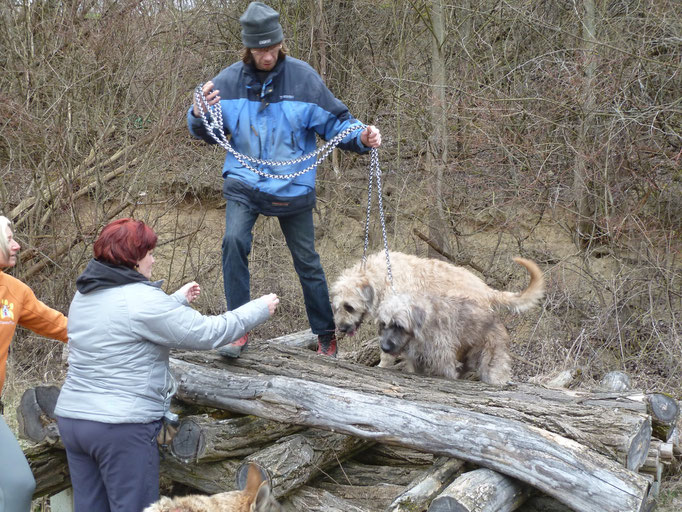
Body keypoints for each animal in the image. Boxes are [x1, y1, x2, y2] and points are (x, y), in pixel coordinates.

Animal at [326, 250, 544, 366]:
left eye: (349, 307)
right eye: (336, 307)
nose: (341, 329)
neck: (380, 277)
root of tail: (487, 290)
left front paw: (383, 365)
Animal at [378, 292, 510, 384]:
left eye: (399, 326)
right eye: (383, 324)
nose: (384, 348)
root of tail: (497, 321)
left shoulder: (445, 360)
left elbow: (449, 373)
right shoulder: (417, 361)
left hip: (490, 359)